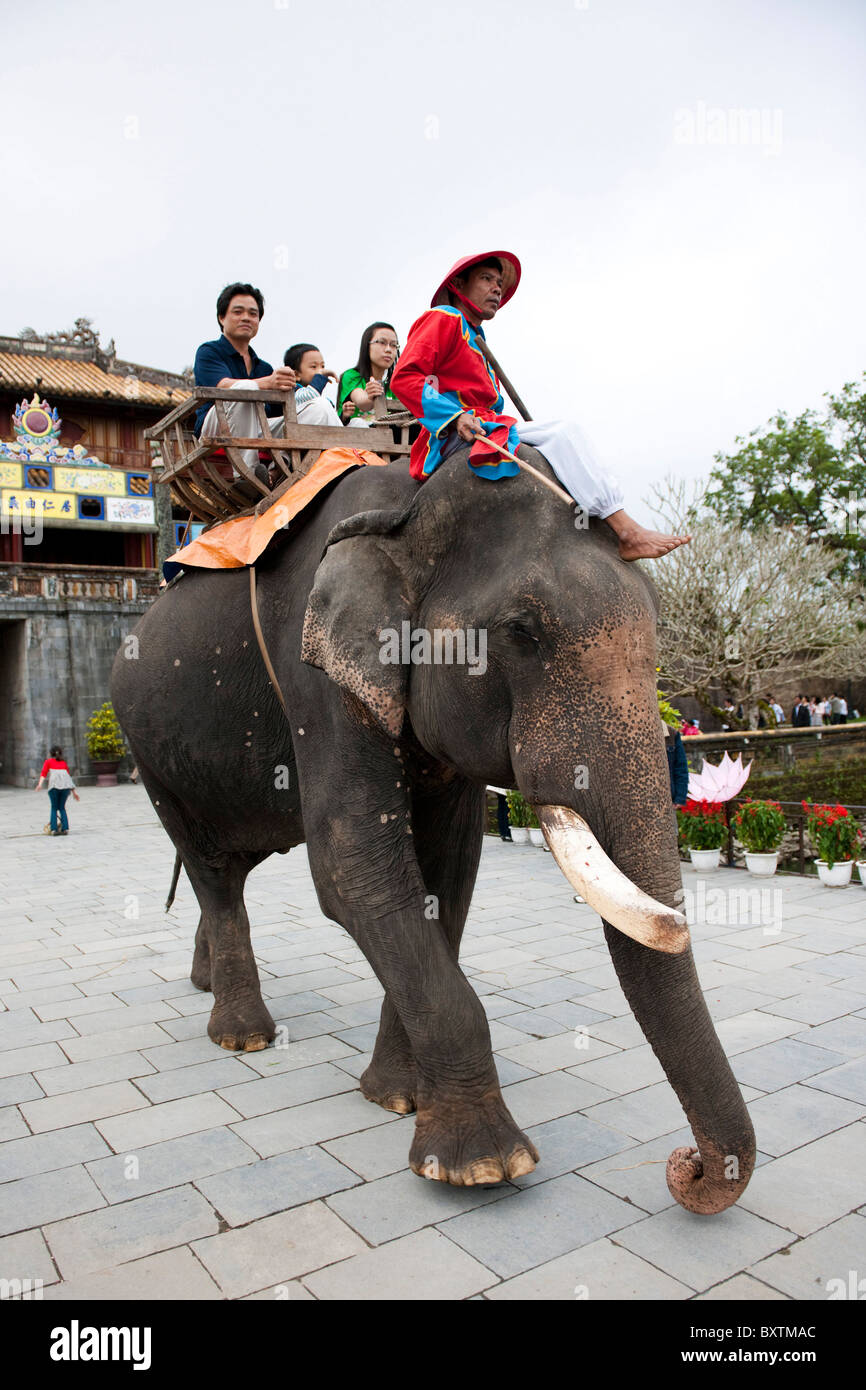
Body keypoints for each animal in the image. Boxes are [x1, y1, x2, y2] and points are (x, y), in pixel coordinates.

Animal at [110, 443, 756, 1214]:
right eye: (521, 633)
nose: (686, 1168)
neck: (409, 502)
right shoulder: (317, 677)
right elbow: (353, 870)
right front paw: (481, 1166)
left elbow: (448, 873)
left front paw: (396, 1098)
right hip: (146, 748)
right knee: (210, 867)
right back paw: (244, 1039)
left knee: (229, 869)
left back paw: (205, 983)